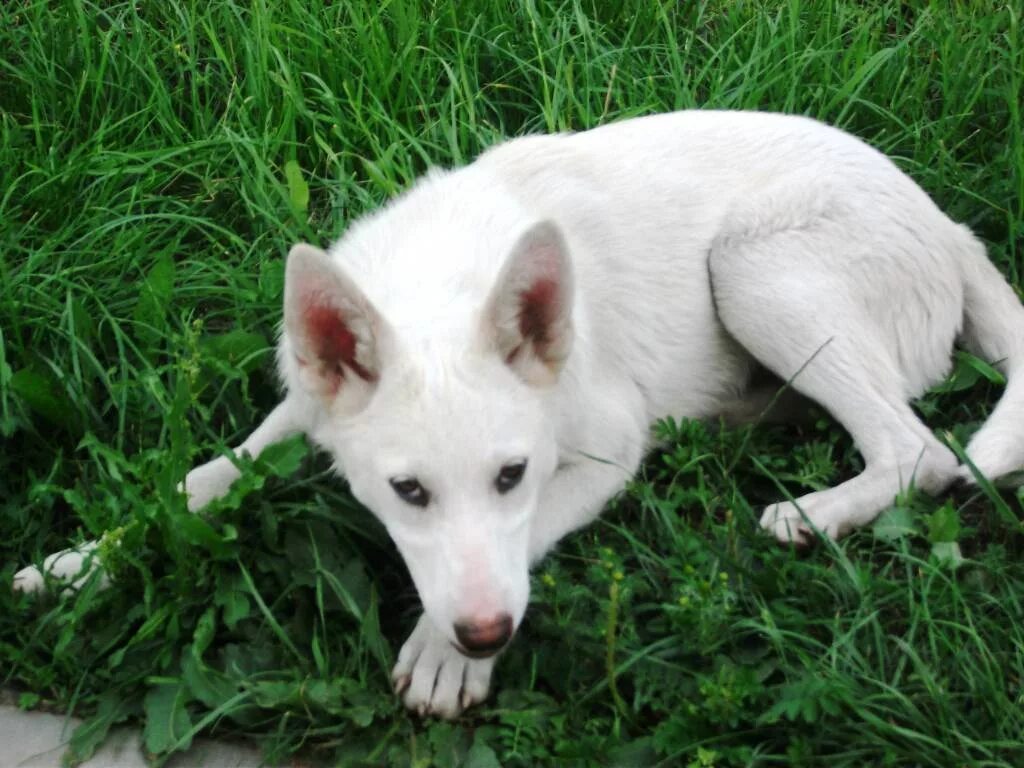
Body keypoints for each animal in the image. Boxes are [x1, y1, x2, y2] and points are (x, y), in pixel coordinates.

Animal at [16, 109, 1024, 720]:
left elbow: (526, 538)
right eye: (406, 492)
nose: (486, 638)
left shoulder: (603, 452)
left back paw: (812, 514)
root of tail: (947, 227)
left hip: (753, 269)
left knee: (920, 450)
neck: (439, 279)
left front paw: (443, 656)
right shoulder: (303, 405)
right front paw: (79, 562)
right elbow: (204, 478)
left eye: (511, 476)